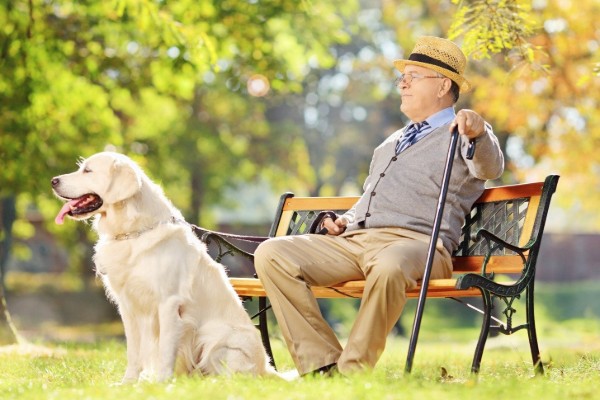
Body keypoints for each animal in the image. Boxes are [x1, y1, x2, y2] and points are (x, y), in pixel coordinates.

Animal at [51, 152, 276, 382]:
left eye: (88, 170)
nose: (53, 181)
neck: (133, 232)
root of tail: (266, 367)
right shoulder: (128, 305)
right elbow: (134, 352)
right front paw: (128, 382)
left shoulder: (168, 302)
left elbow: (166, 349)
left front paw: (161, 382)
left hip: (214, 337)